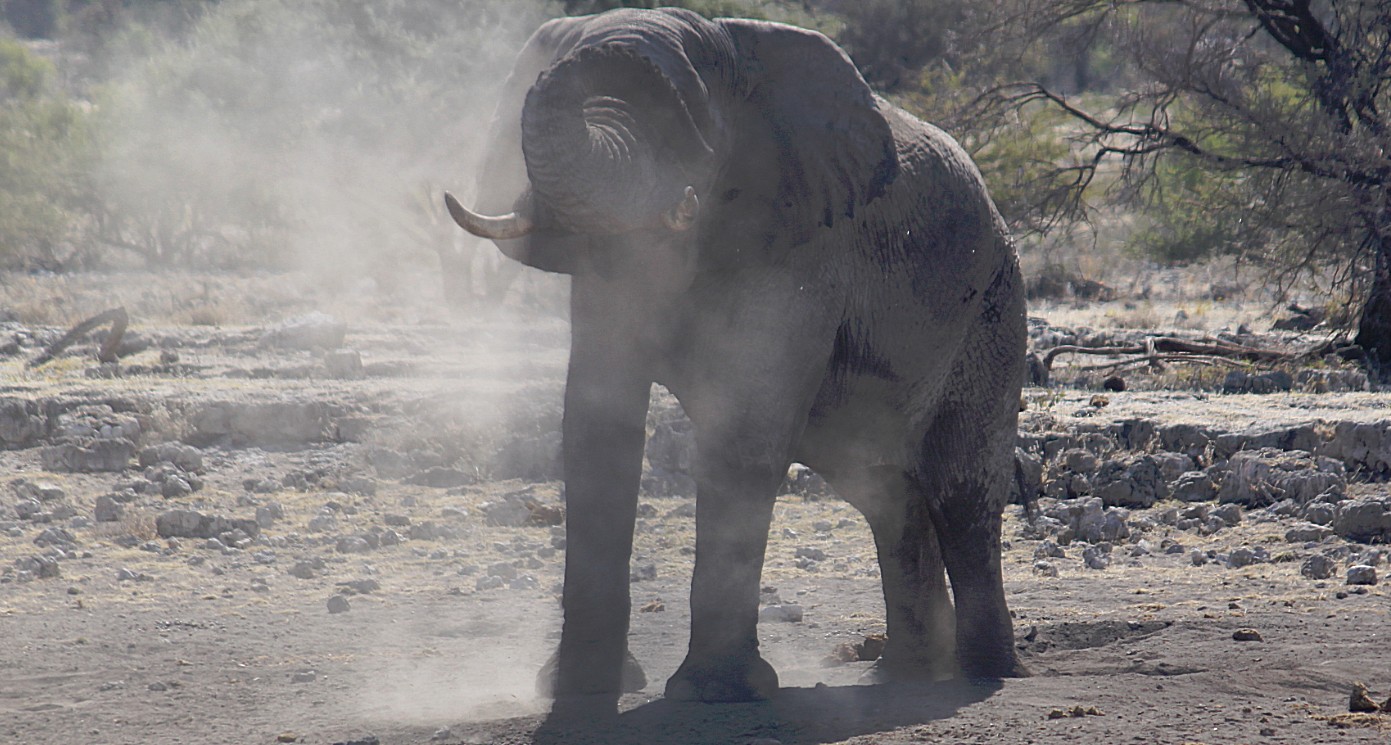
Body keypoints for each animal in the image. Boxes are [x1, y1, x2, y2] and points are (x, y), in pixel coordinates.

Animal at [447, 7, 1034, 703]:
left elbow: (744, 438)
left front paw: (715, 692)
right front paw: (579, 688)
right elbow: (598, 428)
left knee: (962, 491)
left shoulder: (806, 244)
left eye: (691, 123)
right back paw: (903, 674)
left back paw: (985, 672)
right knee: (885, 493)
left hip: (993, 310)